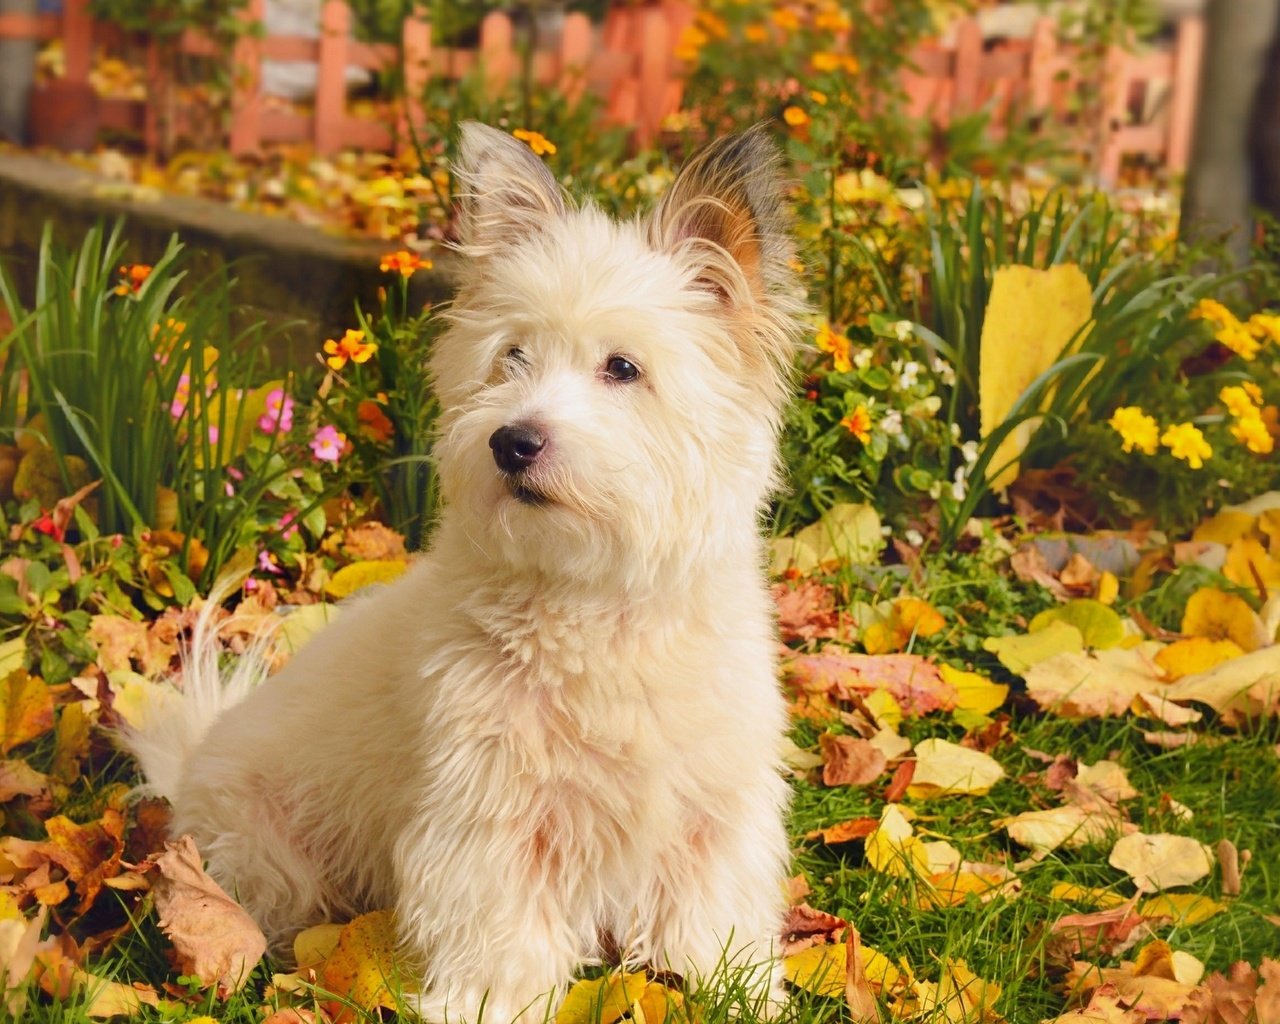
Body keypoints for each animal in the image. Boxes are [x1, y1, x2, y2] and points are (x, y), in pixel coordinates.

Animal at [120, 122, 798, 1024]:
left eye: (623, 368)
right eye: (511, 356)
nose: (512, 441)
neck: (596, 600)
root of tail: (189, 765)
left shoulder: (712, 808)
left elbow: (712, 915)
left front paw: (743, 992)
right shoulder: (488, 821)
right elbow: (502, 936)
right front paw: (487, 1006)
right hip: (269, 857)